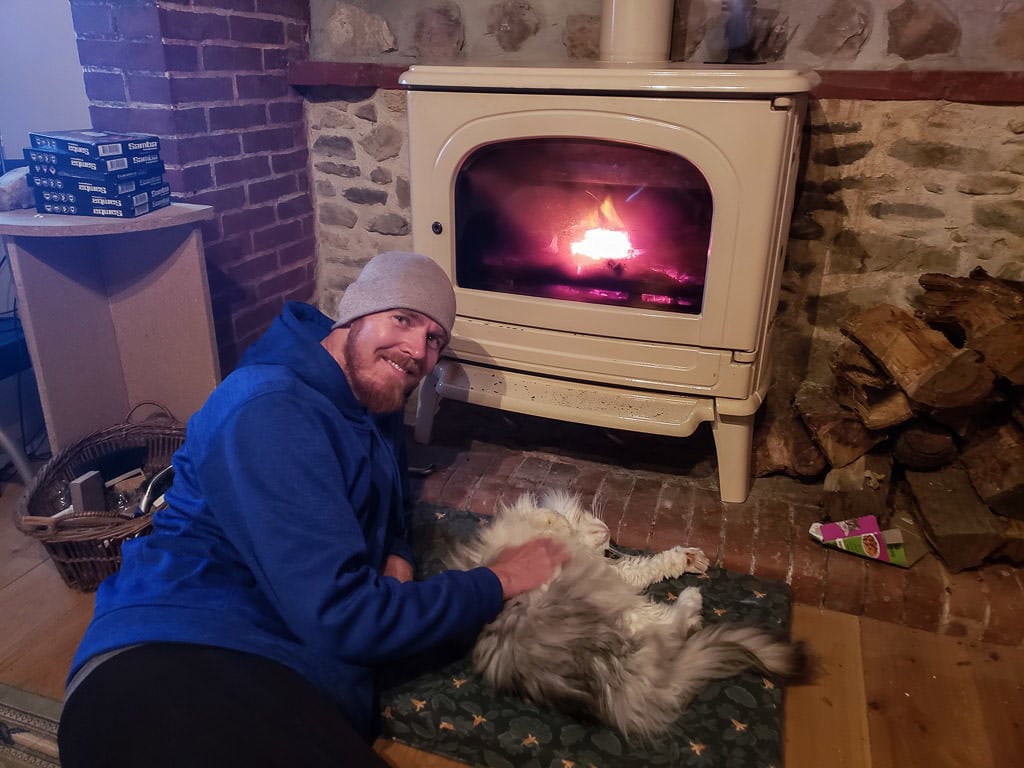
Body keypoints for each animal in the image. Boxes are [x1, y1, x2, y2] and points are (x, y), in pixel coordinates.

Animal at [448, 489, 806, 741]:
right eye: (589, 517)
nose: (608, 530)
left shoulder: (616, 572)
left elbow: (647, 566)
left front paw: (688, 559)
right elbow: (550, 517)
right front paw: (559, 522)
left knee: (673, 629)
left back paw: (689, 599)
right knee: (674, 628)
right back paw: (690, 600)